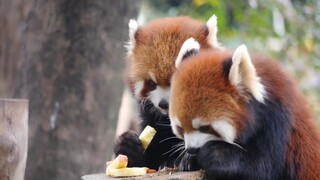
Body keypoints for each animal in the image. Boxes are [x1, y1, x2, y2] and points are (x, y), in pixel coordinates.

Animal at [114, 15, 222, 170]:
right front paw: (127, 145)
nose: (164, 104)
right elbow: (148, 161)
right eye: (152, 83)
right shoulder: (151, 118)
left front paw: (188, 160)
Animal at [169, 38, 320, 179]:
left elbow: (262, 166)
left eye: (205, 127)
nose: (191, 150)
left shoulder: (279, 121)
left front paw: (213, 154)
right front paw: (188, 160)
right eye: (180, 128)